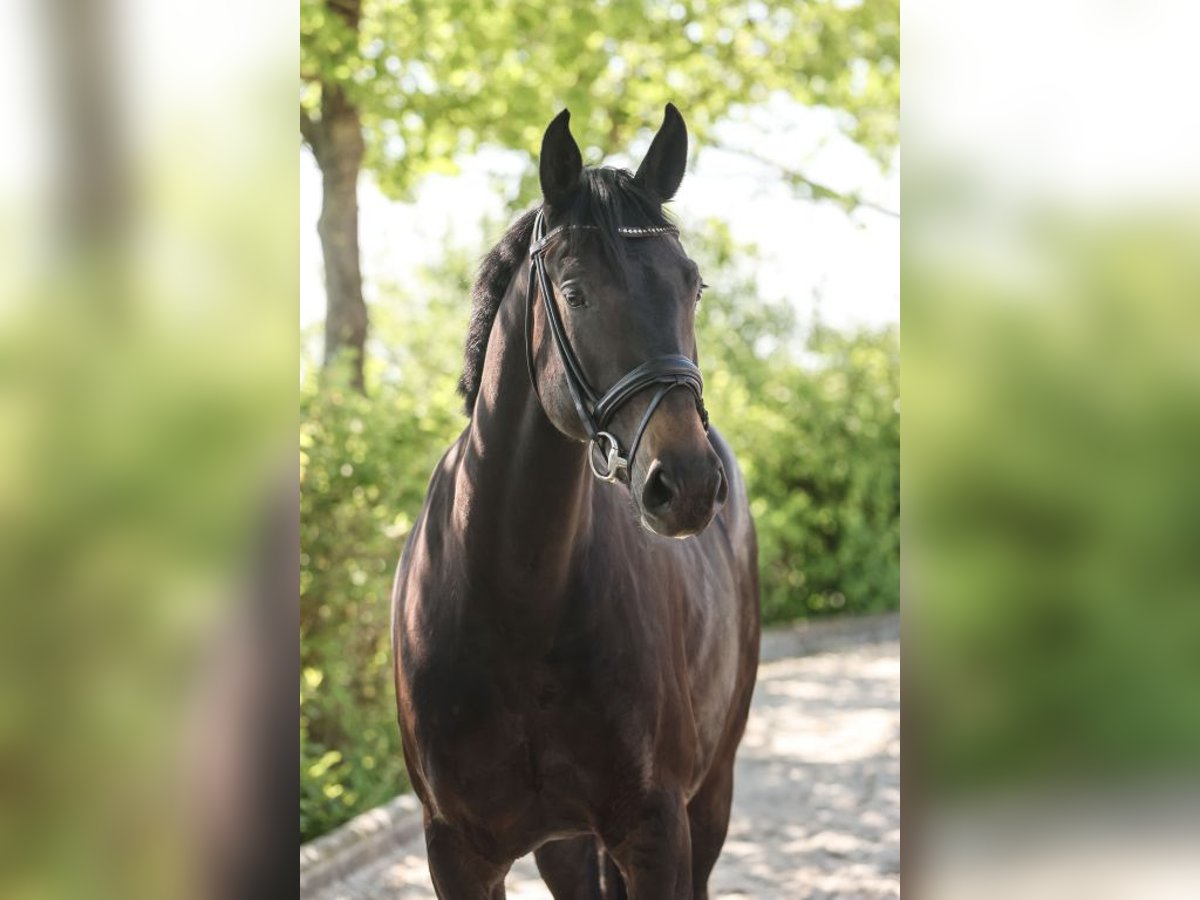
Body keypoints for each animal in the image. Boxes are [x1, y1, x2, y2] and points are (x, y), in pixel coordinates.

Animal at [393, 103, 758, 897]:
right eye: (574, 291)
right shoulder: (455, 852)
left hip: (712, 794)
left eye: (692, 285)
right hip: (566, 846)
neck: (516, 602)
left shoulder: (657, 832)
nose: (688, 482)